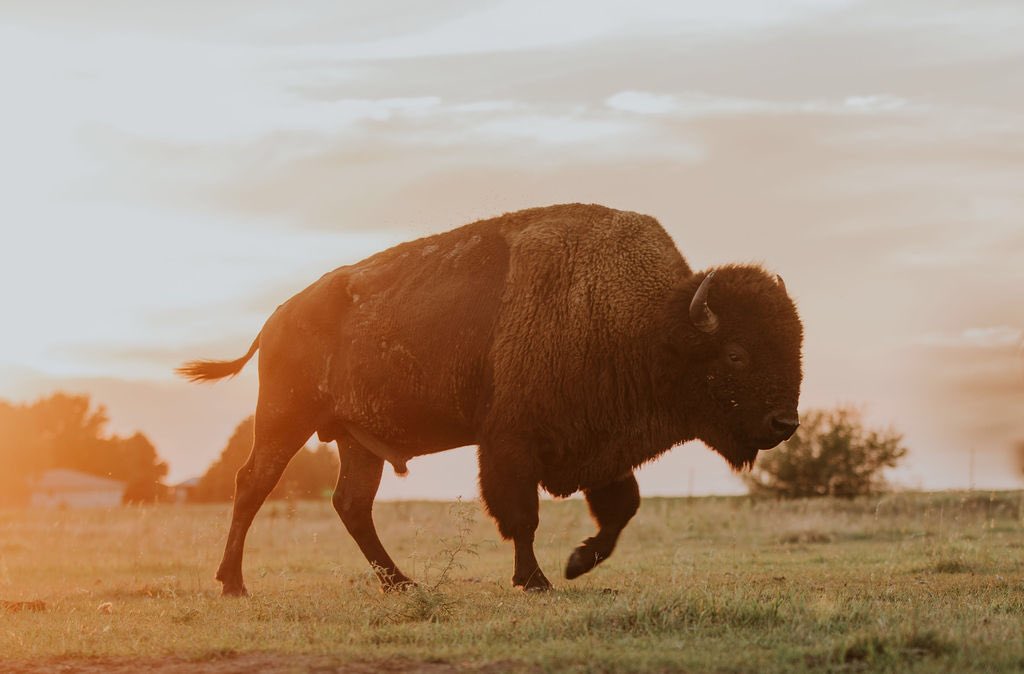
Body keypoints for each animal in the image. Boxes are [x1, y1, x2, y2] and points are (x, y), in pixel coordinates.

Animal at [178, 203, 803, 595]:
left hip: (360, 441)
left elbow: (622, 508)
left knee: (351, 504)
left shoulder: (601, 446)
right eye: (736, 355)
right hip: (286, 418)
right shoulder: (511, 444)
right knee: (253, 484)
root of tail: (277, 317)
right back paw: (233, 584)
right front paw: (537, 580)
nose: (785, 422)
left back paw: (401, 584)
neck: (648, 323)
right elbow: (521, 516)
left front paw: (576, 564)